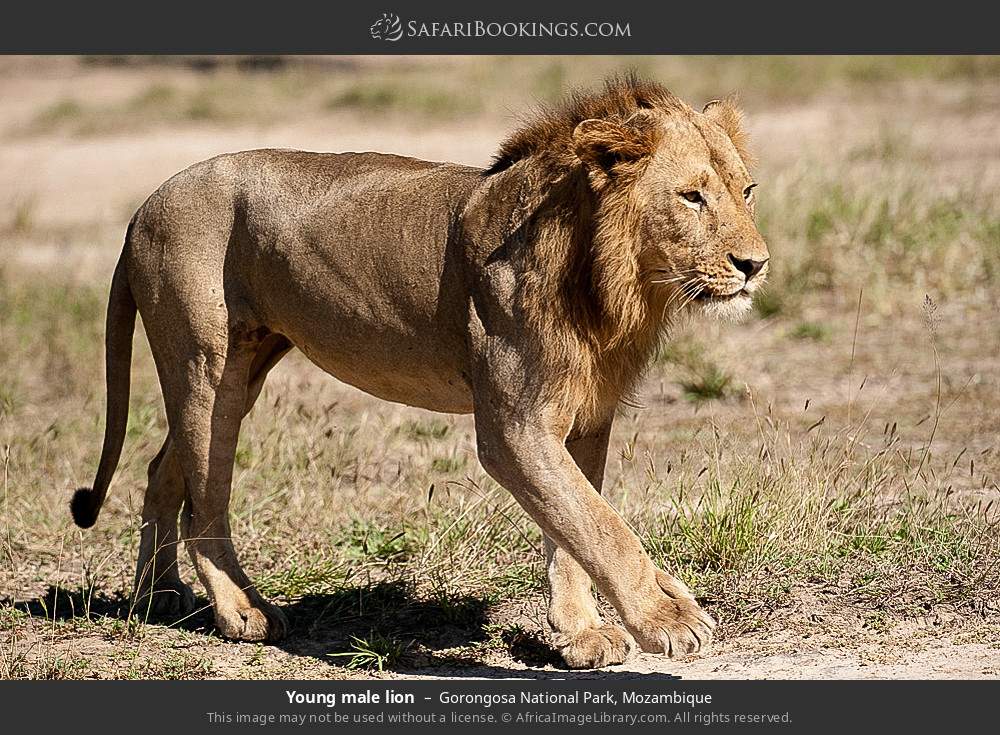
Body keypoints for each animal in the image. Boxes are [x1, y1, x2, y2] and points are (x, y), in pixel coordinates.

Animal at [70, 75, 768, 669]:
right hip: (205, 366)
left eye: (747, 192)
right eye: (692, 196)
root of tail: (143, 207)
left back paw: (159, 597)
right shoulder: (514, 428)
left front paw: (580, 634)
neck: (610, 283)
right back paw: (241, 611)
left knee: (164, 471)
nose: (755, 265)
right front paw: (668, 619)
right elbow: (600, 525)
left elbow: (575, 523)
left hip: (243, 370)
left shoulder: (585, 419)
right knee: (205, 498)